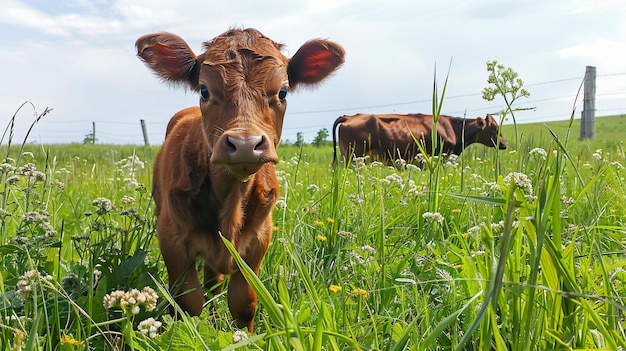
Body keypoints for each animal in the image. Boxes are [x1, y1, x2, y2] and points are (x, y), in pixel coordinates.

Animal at [135, 28, 346, 332]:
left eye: (282, 91)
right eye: (204, 90)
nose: (245, 143)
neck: (231, 198)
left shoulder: (259, 237)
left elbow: (243, 301)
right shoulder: (171, 237)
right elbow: (188, 303)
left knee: (214, 281)